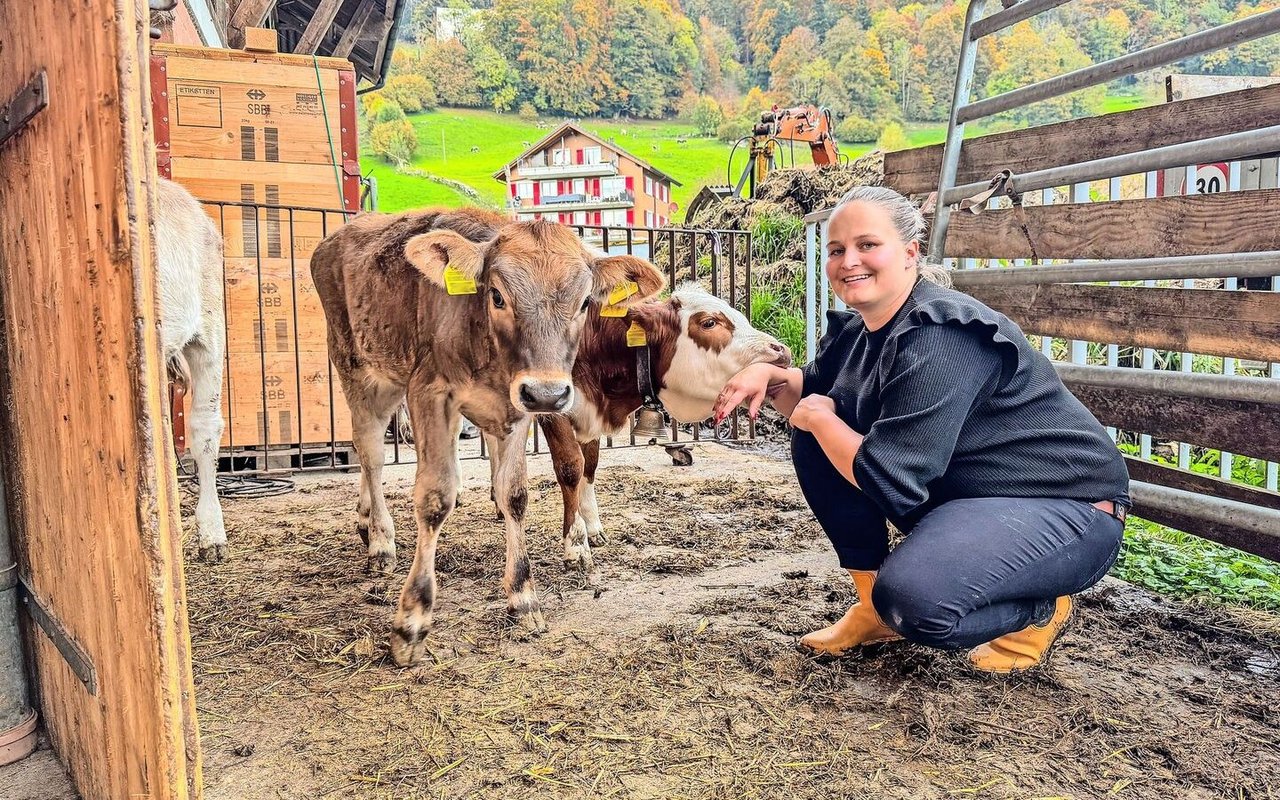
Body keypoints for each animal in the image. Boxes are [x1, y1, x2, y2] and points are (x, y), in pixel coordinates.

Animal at [313, 208, 665, 665]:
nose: (549, 394)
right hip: (357, 368)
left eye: (585, 303)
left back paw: (363, 519)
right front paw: (412, 620)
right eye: (496, 296)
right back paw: (380, 540)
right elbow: (434, 497)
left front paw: (523, 597)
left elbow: (514, 494)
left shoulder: (517, 404)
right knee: (369, 453)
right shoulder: (429, 390)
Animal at [529, 284, 788, 570]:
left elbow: (591, 464)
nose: (782, 351)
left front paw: (593, 528)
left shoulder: (590, 415)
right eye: (709, 322)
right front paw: (576, 545)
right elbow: (571, 466)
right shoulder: (551, 407)